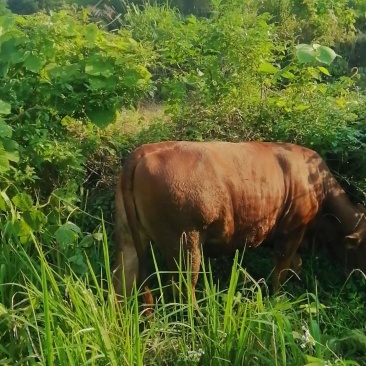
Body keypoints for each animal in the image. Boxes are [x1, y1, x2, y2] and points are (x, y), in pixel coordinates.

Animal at [111, 142, 366, 304]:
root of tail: (145, 151)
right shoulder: (292, 231)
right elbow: (280, 270)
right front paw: (277, 300)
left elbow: (295, 265)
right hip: (185, 243)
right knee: (183, 288)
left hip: (128, 237)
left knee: (123, 281)